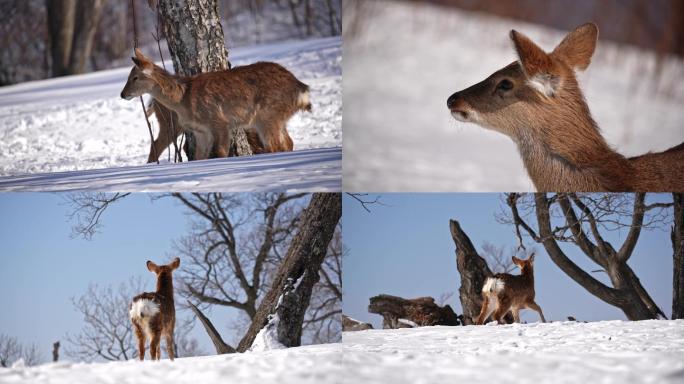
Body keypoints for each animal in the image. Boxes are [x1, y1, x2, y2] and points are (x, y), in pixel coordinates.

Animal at [120, 48, 310, 162]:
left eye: (135, 77)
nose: (122, 94)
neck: (183, 100)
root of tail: (300, 87)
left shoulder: (220, 122)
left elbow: (220, 152)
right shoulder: (201, 131)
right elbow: (199, 156)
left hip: (266, 115)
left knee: (275, 146)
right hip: (276, 118)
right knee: (287, 143)